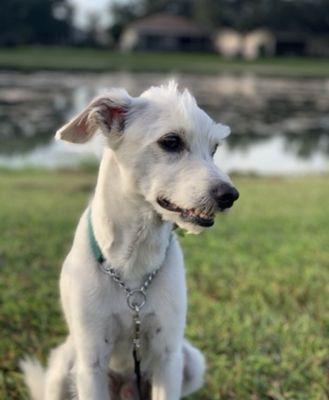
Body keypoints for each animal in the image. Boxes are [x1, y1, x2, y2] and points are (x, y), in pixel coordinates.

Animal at [21, 82, 238, 400]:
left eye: (214, 149)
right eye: (171, 141)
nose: (229, 196)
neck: (135, 257)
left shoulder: (168, 355)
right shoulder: (91, 361)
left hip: (191, 360)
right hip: (64, 365)